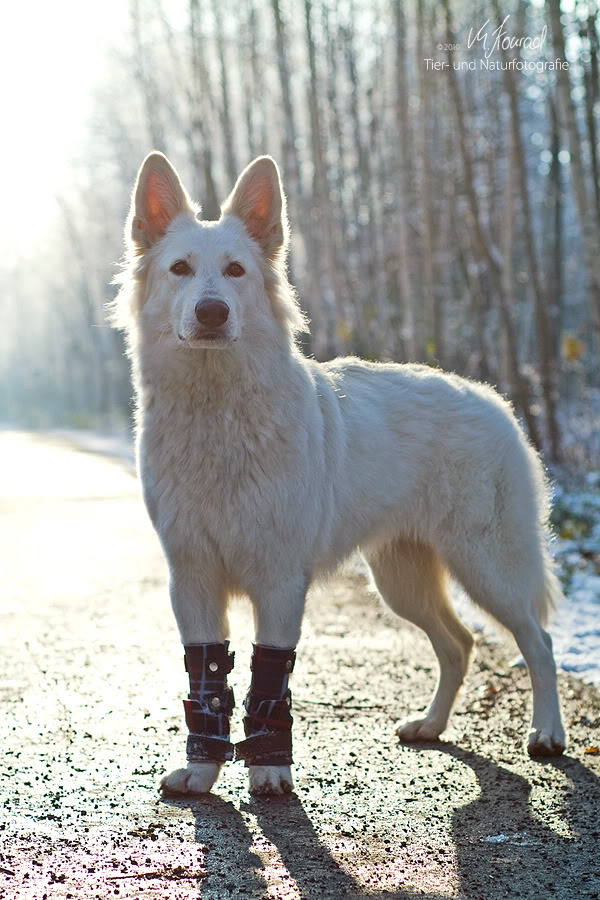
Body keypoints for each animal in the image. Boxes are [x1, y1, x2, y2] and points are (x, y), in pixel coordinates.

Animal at [112, 151, 568, 800]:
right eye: (180, 269)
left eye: (235, 270)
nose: (211, 311)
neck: (217, 410)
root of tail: (493, 400)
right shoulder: (192, 581)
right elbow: (208, 680)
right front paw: (201, 772)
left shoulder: (279, 581)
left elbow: (269, 679)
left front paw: (270, 770)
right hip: (402, 581)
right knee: (459, 644)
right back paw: (430, 725)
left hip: (487, 567)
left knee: (539, 642)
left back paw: (547, 734)